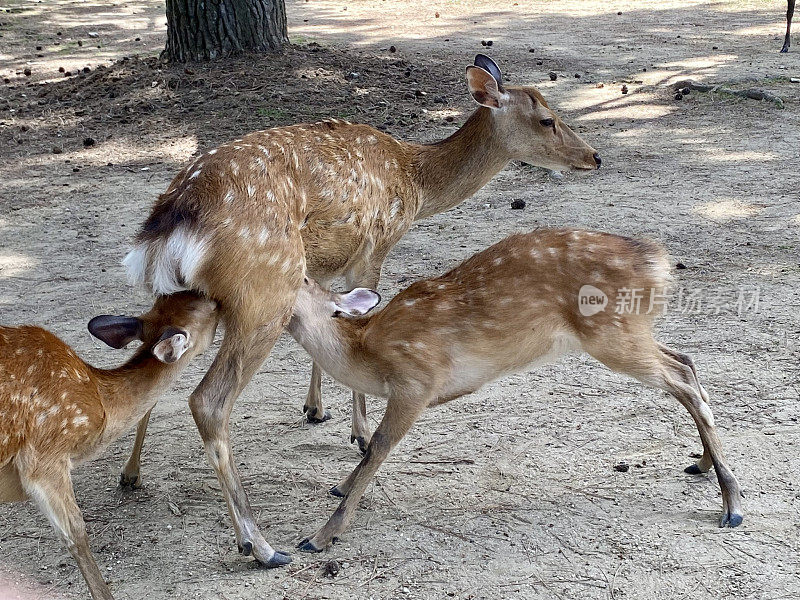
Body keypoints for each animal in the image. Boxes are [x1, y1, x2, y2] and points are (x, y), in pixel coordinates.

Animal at [120, 54, 600, 564]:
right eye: (547, 119)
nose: (594, 157)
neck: (415, 182)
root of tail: (168, 223)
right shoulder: (374, 247)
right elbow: (358, 317)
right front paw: (360, 433)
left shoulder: (326, 264)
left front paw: (315, 409)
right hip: (265, 294)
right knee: (209, 400)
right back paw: (261, 544)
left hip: (179, 293)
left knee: (155, 358)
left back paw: (131, 474)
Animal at [286, 230, 744, 552]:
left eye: (302, 276)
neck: (367, 353)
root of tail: (658, 262)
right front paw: (340, 487)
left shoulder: (416, 381)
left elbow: (377, 446)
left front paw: (321, 535)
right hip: (631, 332)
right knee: (686, 360)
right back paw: (701, 464)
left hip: (613, 335)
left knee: (683, 379)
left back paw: (732, 505)